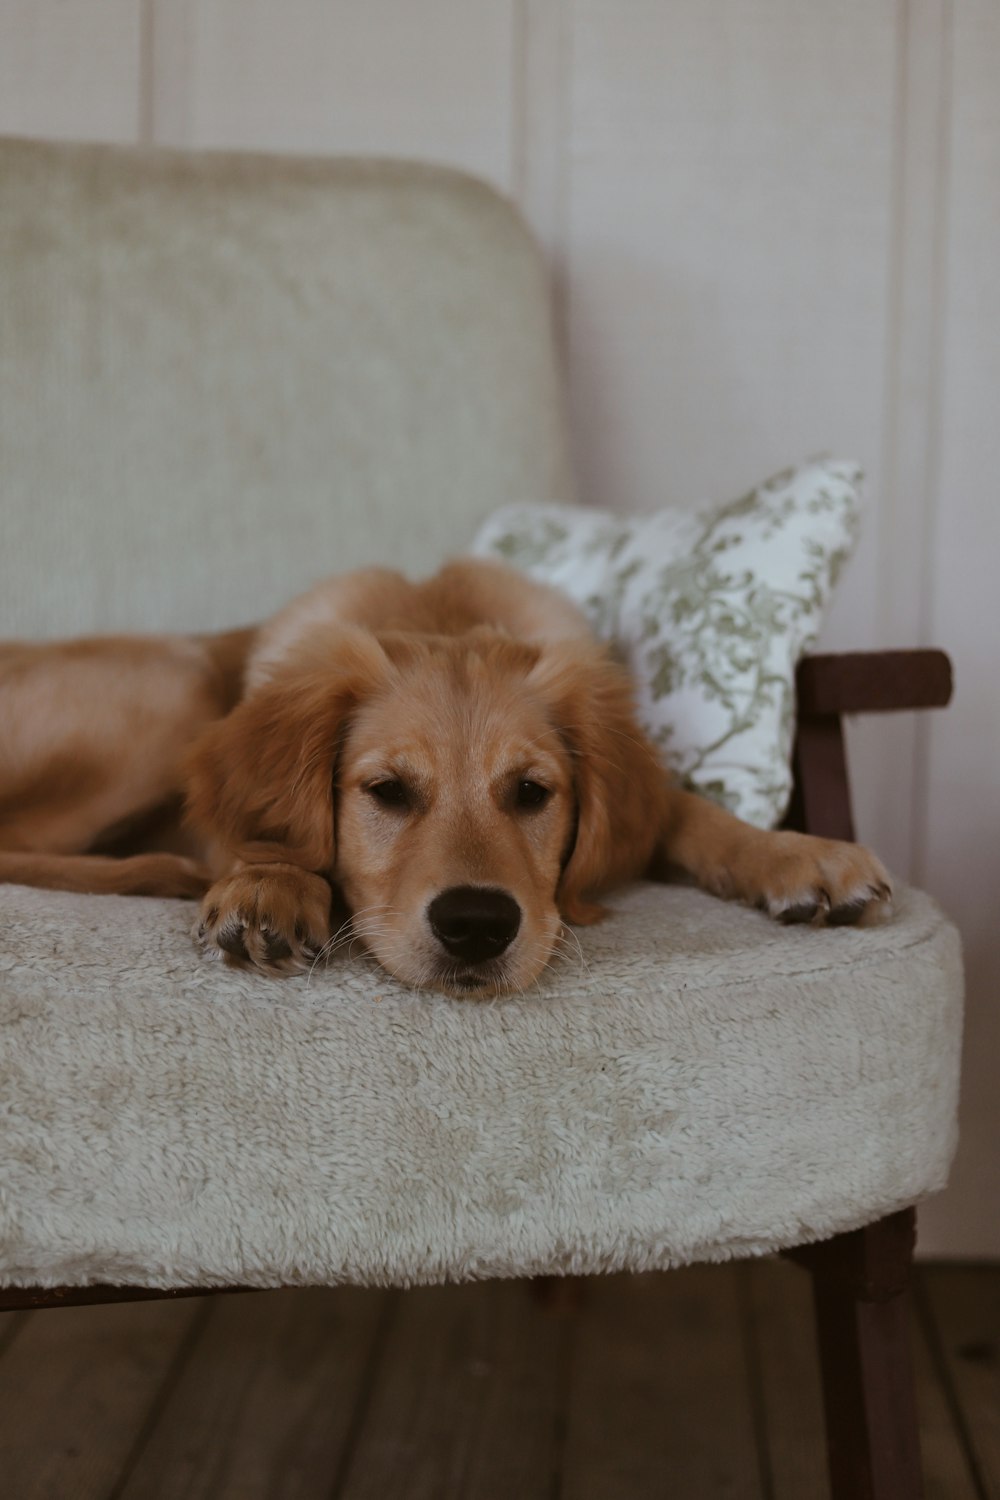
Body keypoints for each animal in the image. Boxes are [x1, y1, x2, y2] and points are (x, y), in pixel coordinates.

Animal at [0, 564, 893, 996]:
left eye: (532, 793)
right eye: (387, 791)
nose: (475, 927)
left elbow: (692, 813)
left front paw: (799, 855)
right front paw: (271, 884)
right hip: (176, 682)